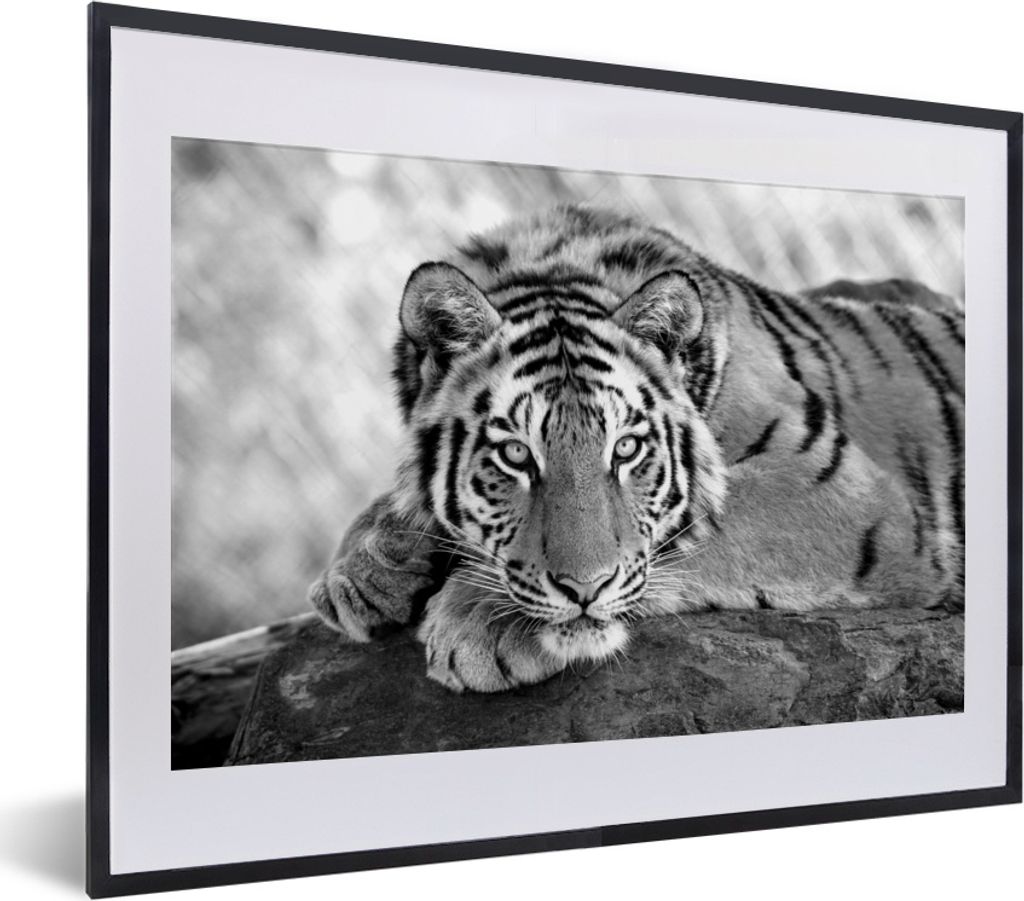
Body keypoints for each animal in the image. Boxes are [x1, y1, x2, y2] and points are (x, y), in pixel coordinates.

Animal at [308, 204, 964, 693]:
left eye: (625, 449)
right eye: (516, 455)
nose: (583, 591)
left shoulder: (842, 489)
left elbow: (694, 526)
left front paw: (481, 621)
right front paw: (362, 569)